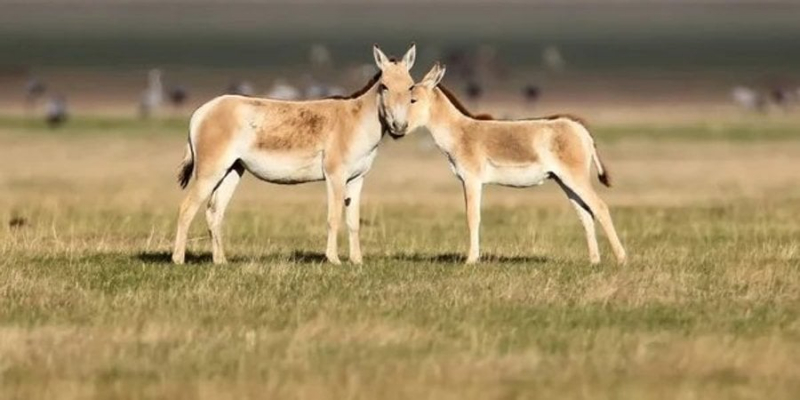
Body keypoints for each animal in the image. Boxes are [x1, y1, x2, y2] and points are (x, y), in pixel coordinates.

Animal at [172, 45, 416, 264]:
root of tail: (201, 110)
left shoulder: (357, 178)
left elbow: (353, 221)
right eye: (384, 86)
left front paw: (357, 261)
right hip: (210, 172)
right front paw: (334, 260)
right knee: (186, 209)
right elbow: (333, 217)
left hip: (232, 170)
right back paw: (178, 259)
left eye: (411, 88)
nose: (399, 127)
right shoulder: (335, 176)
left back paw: (220, 261)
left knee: (214, 212)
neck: (355, 122)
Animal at [406, 64, 624, 264]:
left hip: (575, 178)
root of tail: (581, 129)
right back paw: (594, 261)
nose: (400, 128)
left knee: (600, 207)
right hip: (564, 181)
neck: (459, 133)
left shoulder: (471, 180)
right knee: (586, 214)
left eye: (412, 100)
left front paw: (471, 260)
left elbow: (472, 217)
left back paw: (621, 259)